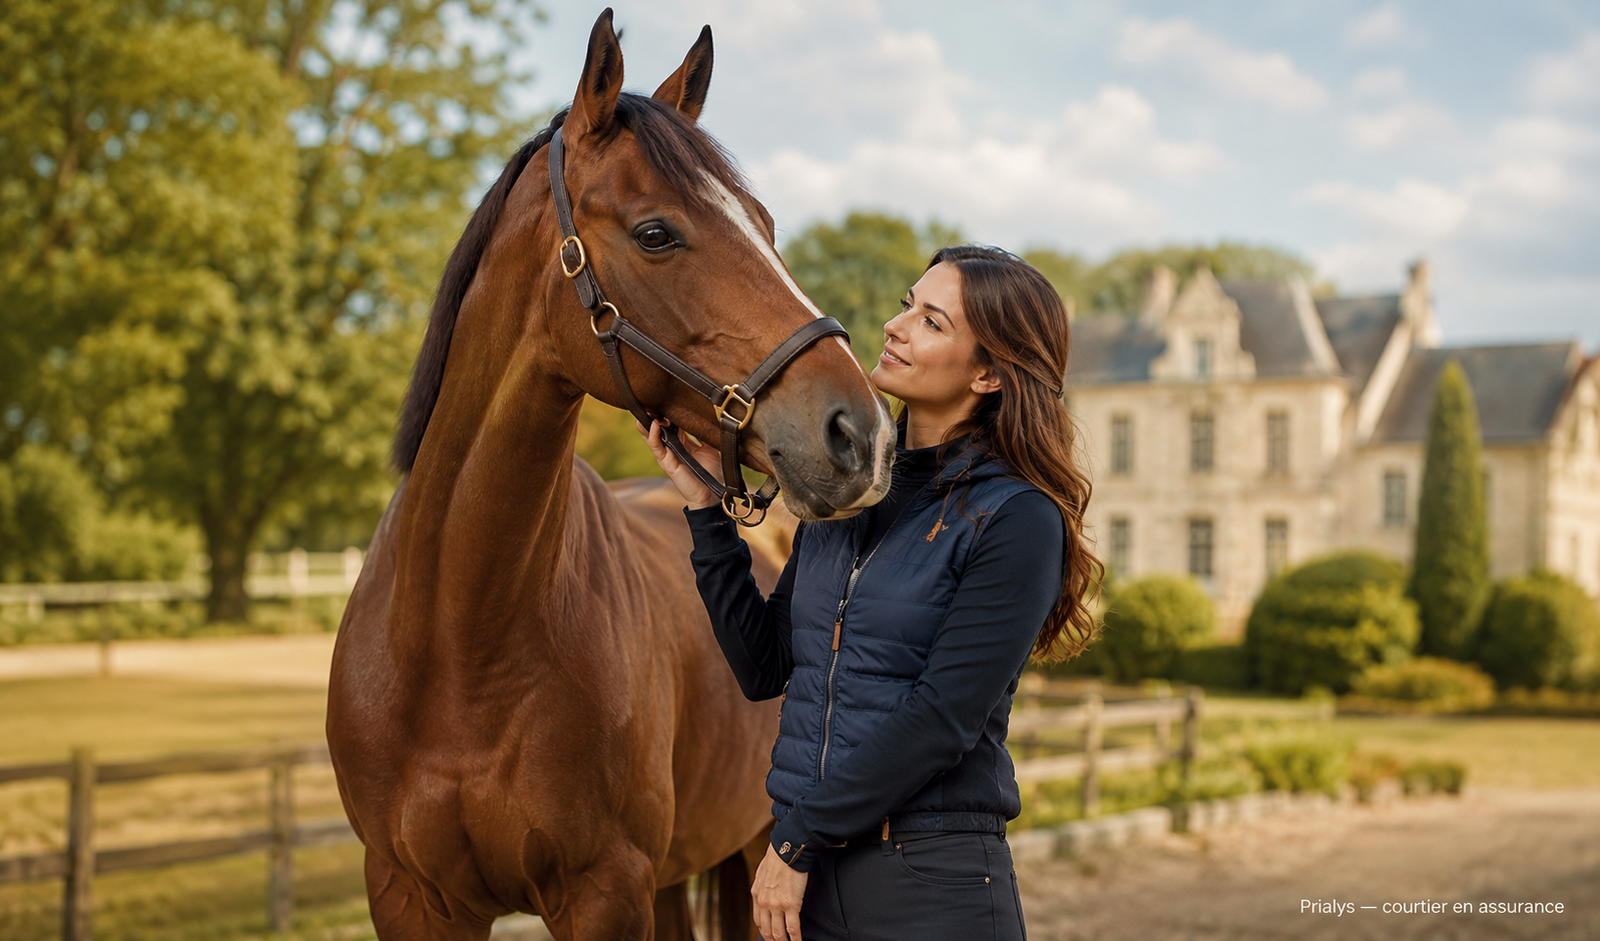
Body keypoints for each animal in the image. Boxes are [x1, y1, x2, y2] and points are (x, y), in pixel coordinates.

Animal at [327, 10, 894, 940]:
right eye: (656, 232)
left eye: (766, 225)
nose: (862, 433)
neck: (460, 642)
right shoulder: (408, 894)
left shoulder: (605, 891)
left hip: (755, 848)